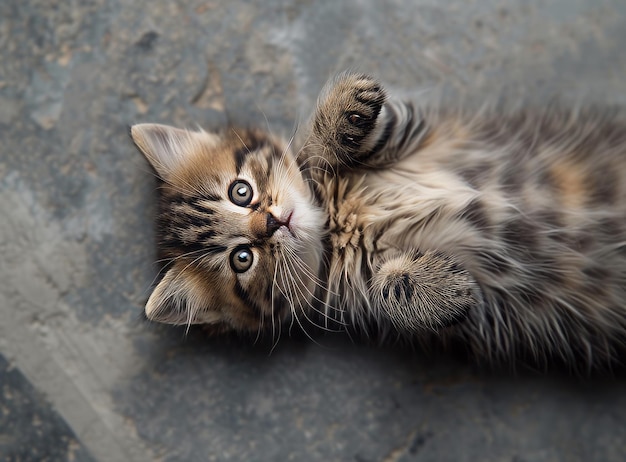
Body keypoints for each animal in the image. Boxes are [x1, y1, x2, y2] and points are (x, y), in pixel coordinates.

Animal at [132, 71, 624, 368]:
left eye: (241, 192)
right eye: (242, 259)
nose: (271, 224)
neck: (334, 218)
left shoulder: (419, 130)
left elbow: (346, 136)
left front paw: (342, 113)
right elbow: (395, 292)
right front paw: (441, 289)